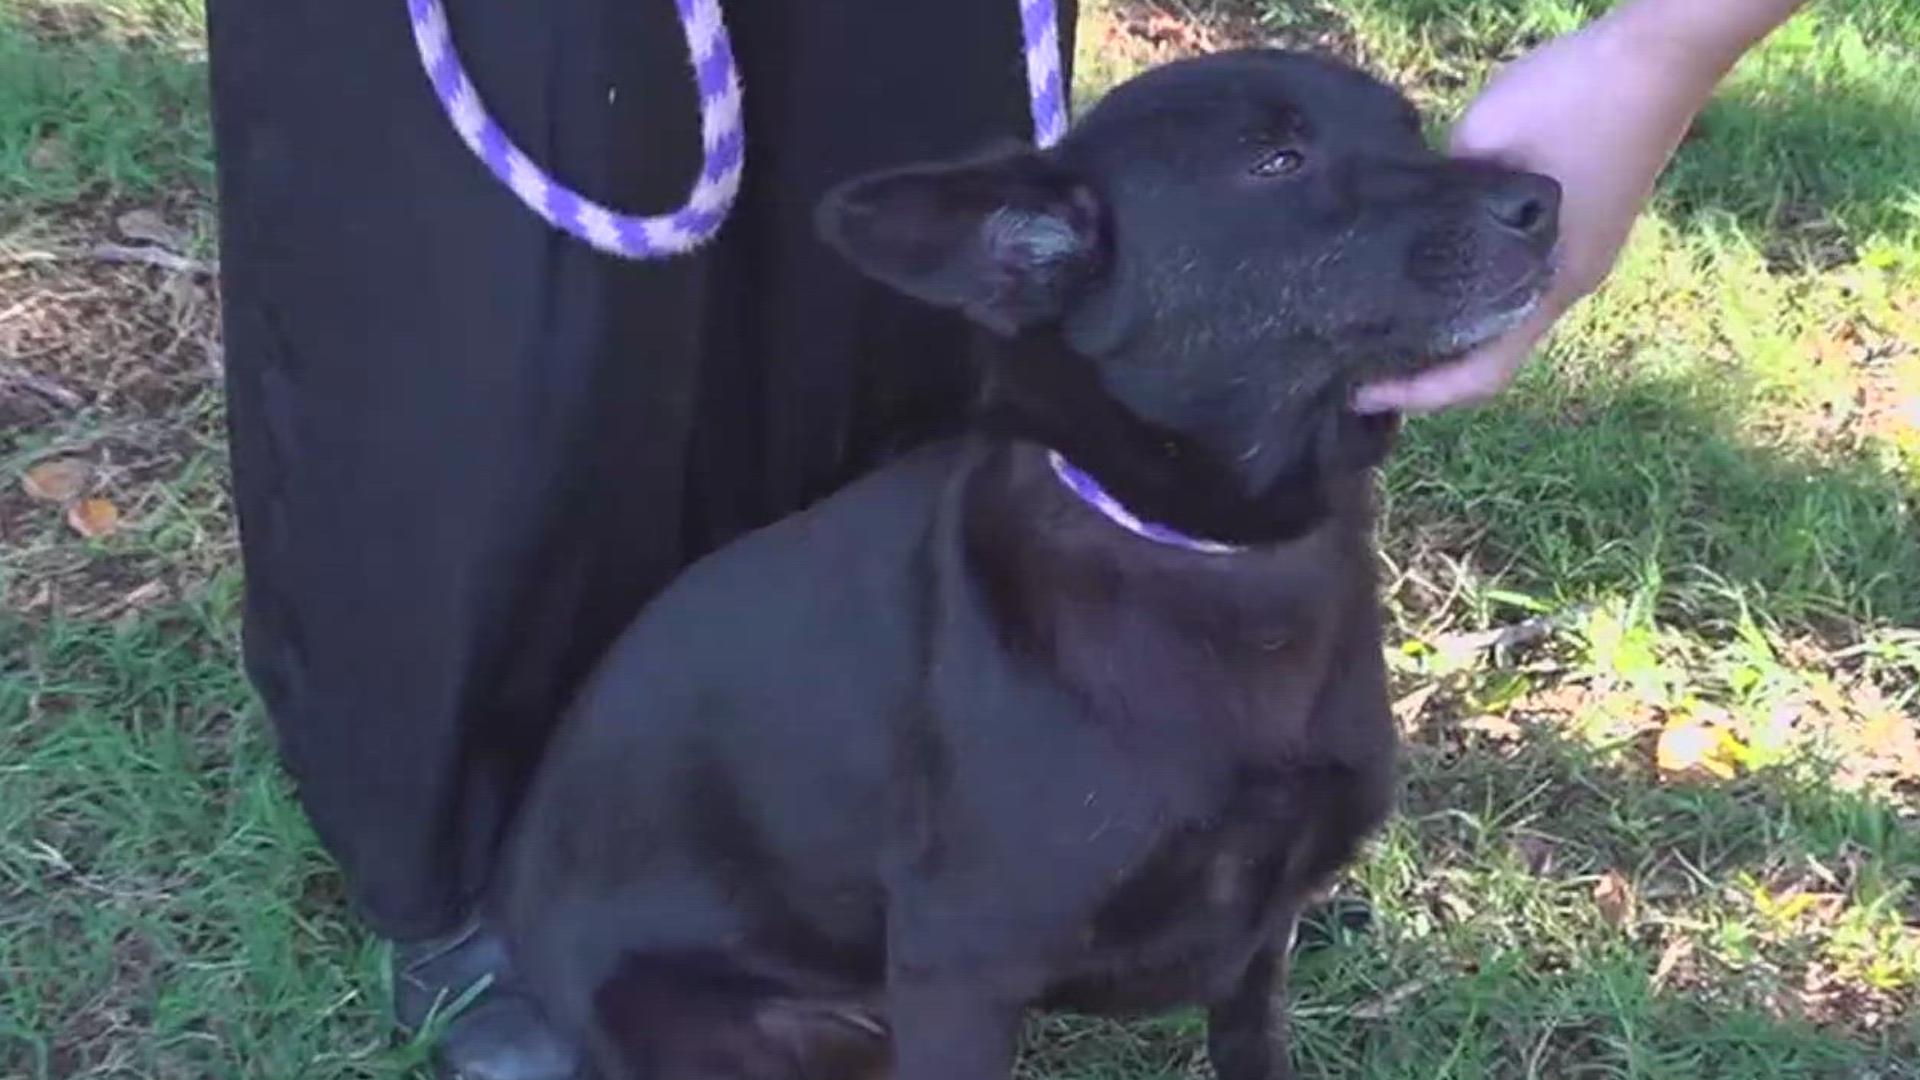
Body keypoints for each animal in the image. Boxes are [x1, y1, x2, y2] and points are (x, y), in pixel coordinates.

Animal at [487, 48, 1551, 1076]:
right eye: (1276, 162)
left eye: (1408, 125)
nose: (1543, 198)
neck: (1216, 550)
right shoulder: (959, 971)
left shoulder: (1258, 946)